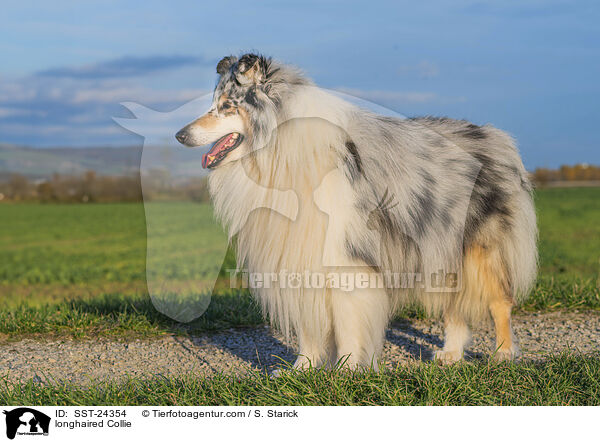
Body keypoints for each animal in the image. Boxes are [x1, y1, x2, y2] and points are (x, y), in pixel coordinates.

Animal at [176, 53, 536, 368]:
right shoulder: (301, 256)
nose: (179, 135)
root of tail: (495, 135)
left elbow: (349, 325)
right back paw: (451, 354)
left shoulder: (344, 258)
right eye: (214, 103)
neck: (282, 152)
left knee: (499, 302)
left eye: (227, 106)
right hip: (443, 246)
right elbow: (310, 330)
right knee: (455, 305)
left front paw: (348, 370)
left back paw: (504, 353)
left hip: (479, 248)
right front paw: (301, 370)